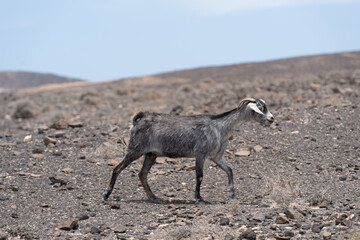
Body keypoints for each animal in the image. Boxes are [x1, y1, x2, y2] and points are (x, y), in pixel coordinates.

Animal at [102, 97, 274, 202]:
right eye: (259, 108)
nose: (272, 118)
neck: (219, 127)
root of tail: (138, 120)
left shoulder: (216, 157)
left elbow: (229, 170)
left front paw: (232, 194)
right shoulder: (200, 154)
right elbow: (199, 176)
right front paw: (199, 198)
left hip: (151, 154)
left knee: (142, 174)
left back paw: (154, 197)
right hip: (135, 149)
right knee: (117, 168)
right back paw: (106, 194)